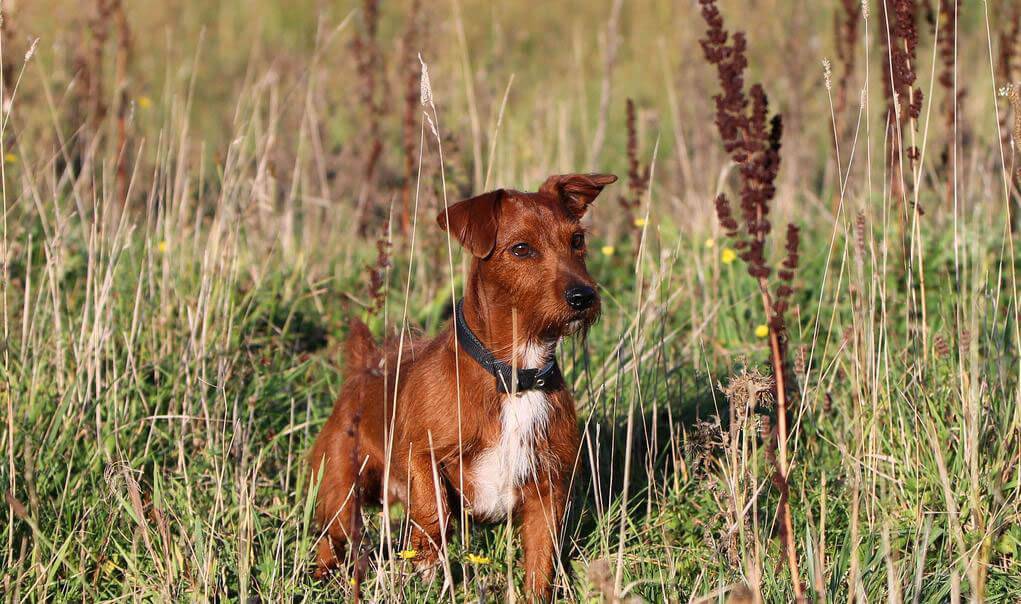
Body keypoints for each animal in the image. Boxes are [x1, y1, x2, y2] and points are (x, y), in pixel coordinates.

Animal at [308, 171, 612, 599]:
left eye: (578, 240)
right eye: (521, 249)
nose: (583, 296)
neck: (512, 376)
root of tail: (363, 370)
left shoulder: (547, 492)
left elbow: (540, 568)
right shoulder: (419, 453)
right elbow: (433, 512)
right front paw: (427, 563)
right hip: (340, 493)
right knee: (329, 539)